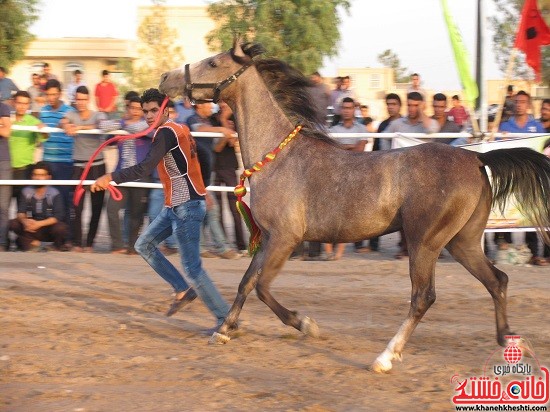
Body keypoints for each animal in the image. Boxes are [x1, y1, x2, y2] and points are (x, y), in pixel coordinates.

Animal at [158, 40, 550, 372]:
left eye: (213, 62)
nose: (165, 79)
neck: (279, 156)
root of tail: (476, 159)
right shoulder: (269, 237)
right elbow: (245, 282)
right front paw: (224, 330)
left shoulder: (286, 238)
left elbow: (262, 287)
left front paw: (305, 324)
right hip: (462, 241)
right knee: (497, 280)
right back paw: (510, 342)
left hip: (425, 242)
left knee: (423, 297)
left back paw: (386, 357)